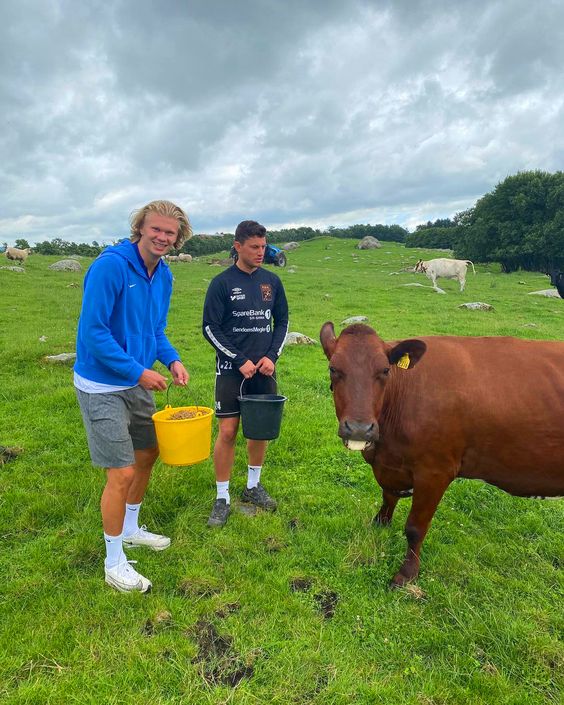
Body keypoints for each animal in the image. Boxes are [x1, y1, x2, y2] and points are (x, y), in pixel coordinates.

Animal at [322, 322, 564, 584]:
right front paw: (379, 525)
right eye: (333, 368)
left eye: (385, 370)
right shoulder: (390, 465)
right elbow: (388, 497)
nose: (359, 428)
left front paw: (407, 574)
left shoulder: (435, 472)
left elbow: (415, 528)